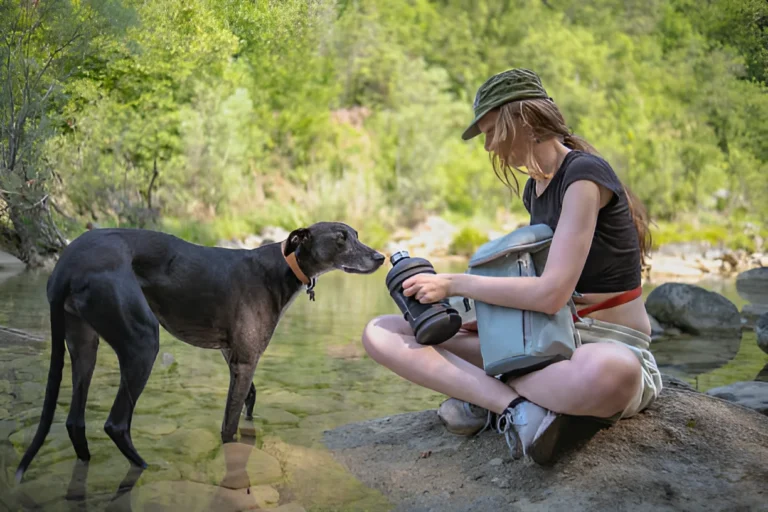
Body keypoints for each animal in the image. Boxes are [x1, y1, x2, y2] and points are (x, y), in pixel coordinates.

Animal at [12, 222, 384, 482]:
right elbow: (229, 426)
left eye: (355, 233)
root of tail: (67, 263)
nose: (380, 257)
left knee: (75, 421)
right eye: (341, 238)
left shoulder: (231, 356)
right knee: (116, 423)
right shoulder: (245, 361)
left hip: (83, 344)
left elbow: (250, 398)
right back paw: (145, 467)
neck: (281, 266)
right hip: (142, 342)